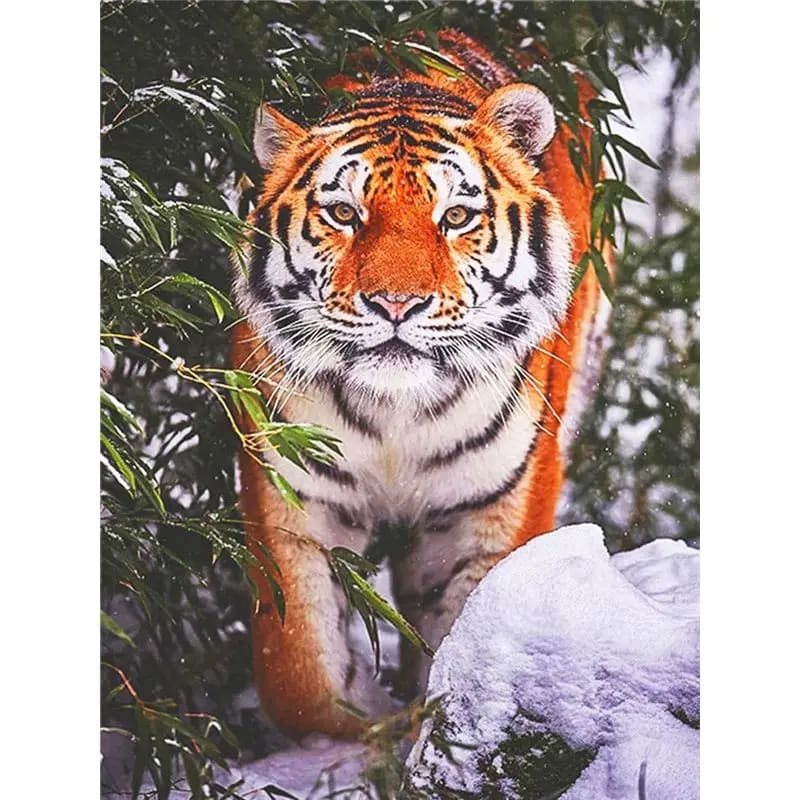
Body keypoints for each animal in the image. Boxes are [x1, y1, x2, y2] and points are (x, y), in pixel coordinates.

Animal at [231, 30, 610, 738]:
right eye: (343, 213)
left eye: (456, 216)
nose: (396, 304)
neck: (395, 413)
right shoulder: (294, 493)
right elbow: (299, 674)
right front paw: (366, 722)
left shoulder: (492, 505)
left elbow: (466, 640)